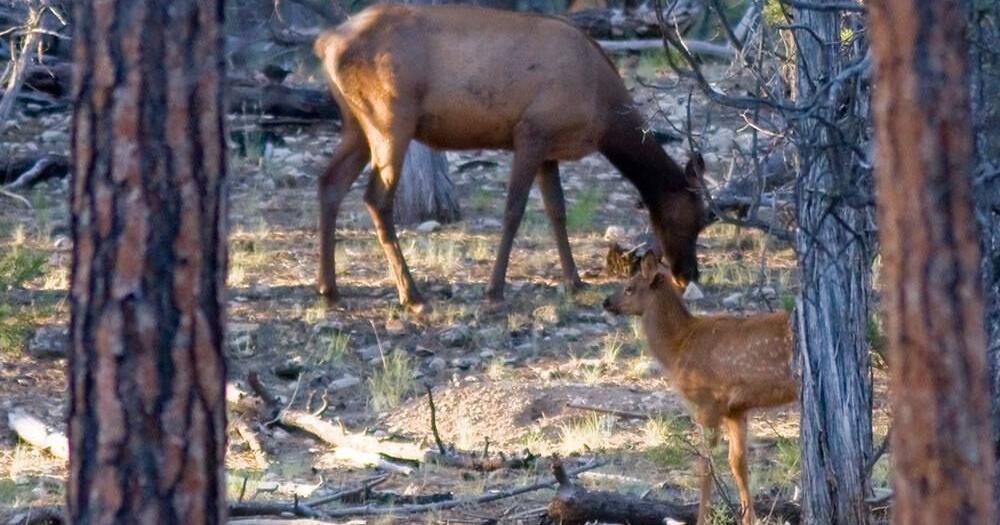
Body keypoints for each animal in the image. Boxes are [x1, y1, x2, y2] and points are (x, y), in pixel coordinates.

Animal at [313, 4, 708, 312]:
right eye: (696, 218)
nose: (688, 274)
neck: (605, 116)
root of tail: (325, 42)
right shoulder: (531, 132)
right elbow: (514, 211)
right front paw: (494, 290)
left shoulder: (550, 149)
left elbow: (557, 212)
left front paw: (575, 281)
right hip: (390, 117)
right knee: (376, 198)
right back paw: (412, 295)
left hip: (355, 123)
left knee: (329, 183)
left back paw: (329, 290)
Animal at [604, 252, 798, 525]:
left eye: (629, 287)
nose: (606, 302)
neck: (678, 347)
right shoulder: (736, 409)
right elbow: (738, 463)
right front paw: (748, 518)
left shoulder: (707, 402)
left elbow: (705, 465)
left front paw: (701, 518)